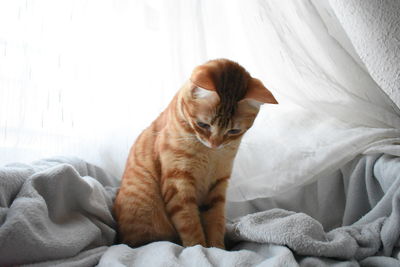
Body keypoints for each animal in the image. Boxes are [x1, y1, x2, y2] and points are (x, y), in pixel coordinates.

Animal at [113, 58, 278, 249]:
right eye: (203, 125)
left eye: (234, 131)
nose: (215, 144)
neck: (210, 155)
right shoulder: (178, 183)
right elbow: (190, 225)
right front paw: (199, 248)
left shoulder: (217, 185)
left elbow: (216, 222)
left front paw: (217, 249)